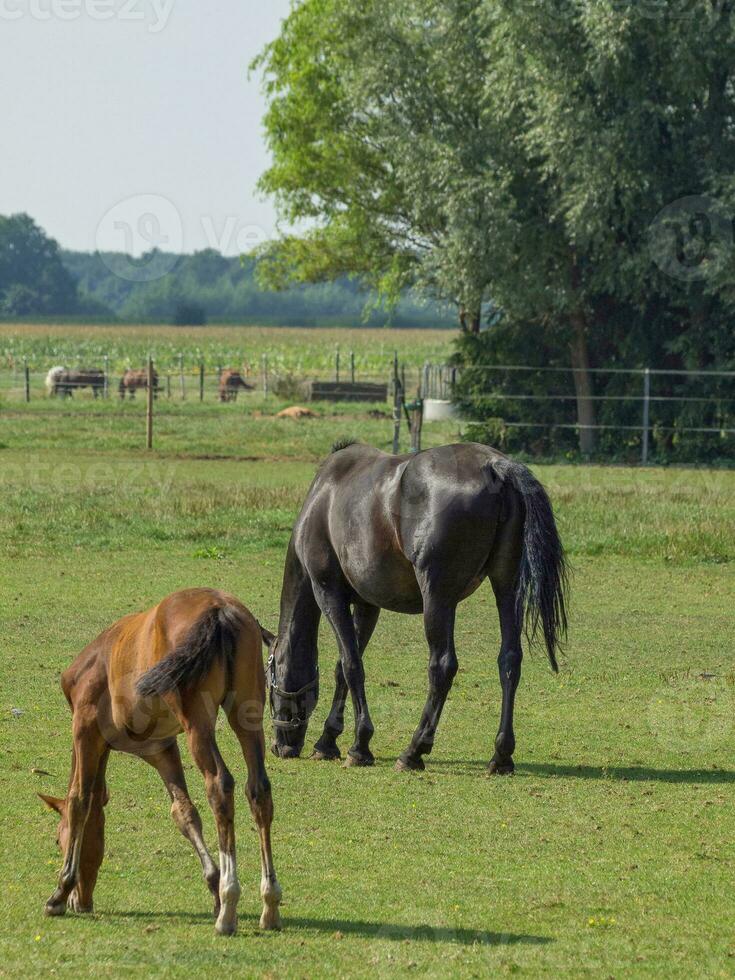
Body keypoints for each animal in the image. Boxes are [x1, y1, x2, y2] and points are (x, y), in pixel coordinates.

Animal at [40, 588, 284, 936]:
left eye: (58, 840)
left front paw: (60, 892)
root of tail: (218, 608)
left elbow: (79, 800)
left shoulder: (85, 728)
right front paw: (213, 886)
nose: (82, 901)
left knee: (220, 785)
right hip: (246, 717)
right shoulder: (162, 749)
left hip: (198, 723)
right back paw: (269, 904)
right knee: (258, 790)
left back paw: (229, 906)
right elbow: (184, 812)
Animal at [266, 442, 568, 772]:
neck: (322, 499)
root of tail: (494, 466)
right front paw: (329, 739)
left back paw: (414, 750)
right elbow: (343, 668)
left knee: (442, 666)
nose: (280, 746)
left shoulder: (328, 594)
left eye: (270, 680)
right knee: (509, 660)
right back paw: (501, 755)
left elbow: (351, 665)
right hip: (506, 585)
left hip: (437, 598)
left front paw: (359, 745)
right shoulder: (367, 606)